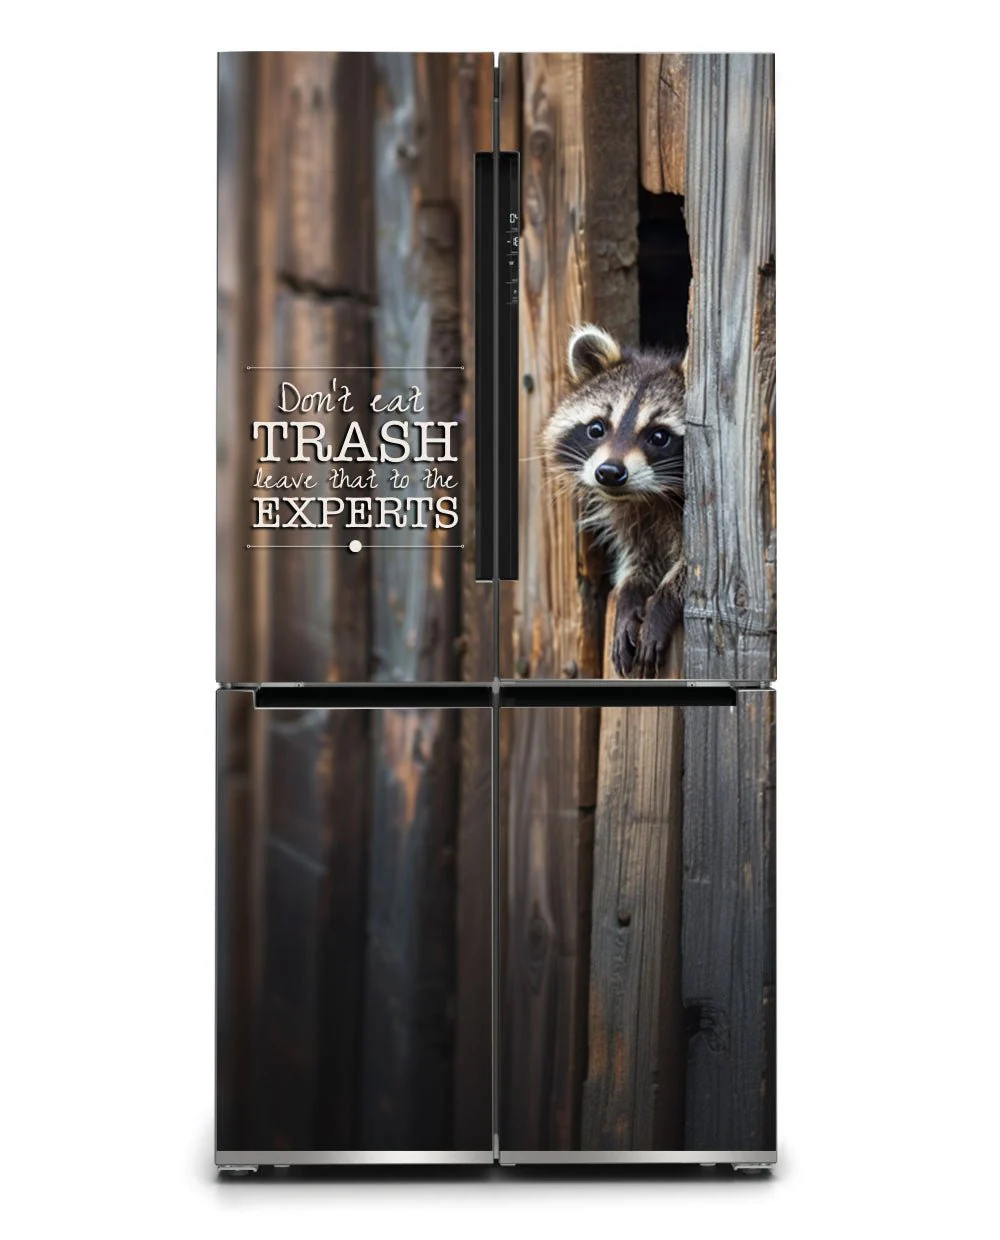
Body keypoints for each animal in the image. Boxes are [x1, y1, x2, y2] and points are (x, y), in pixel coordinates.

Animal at [542, 324, 686, 678]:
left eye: (659, 436)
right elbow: (641, 559)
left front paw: (664, 602)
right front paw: (629, 594)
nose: (609, 472)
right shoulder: (634, 519)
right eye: (597, 428)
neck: (651, 496)